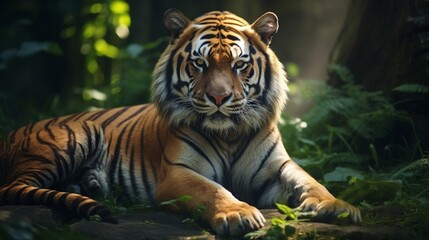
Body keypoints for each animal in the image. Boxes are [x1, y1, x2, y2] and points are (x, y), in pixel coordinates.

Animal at [0, 9, 362, 236]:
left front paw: (338, 206)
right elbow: (211, 190)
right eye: (200, 64)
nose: (219, 97)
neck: (229, 134)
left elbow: (311, 181)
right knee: (12, 188)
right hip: (78, 133)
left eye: (239, 65)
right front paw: (239, 213)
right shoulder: (178, 173)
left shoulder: (276, 170)